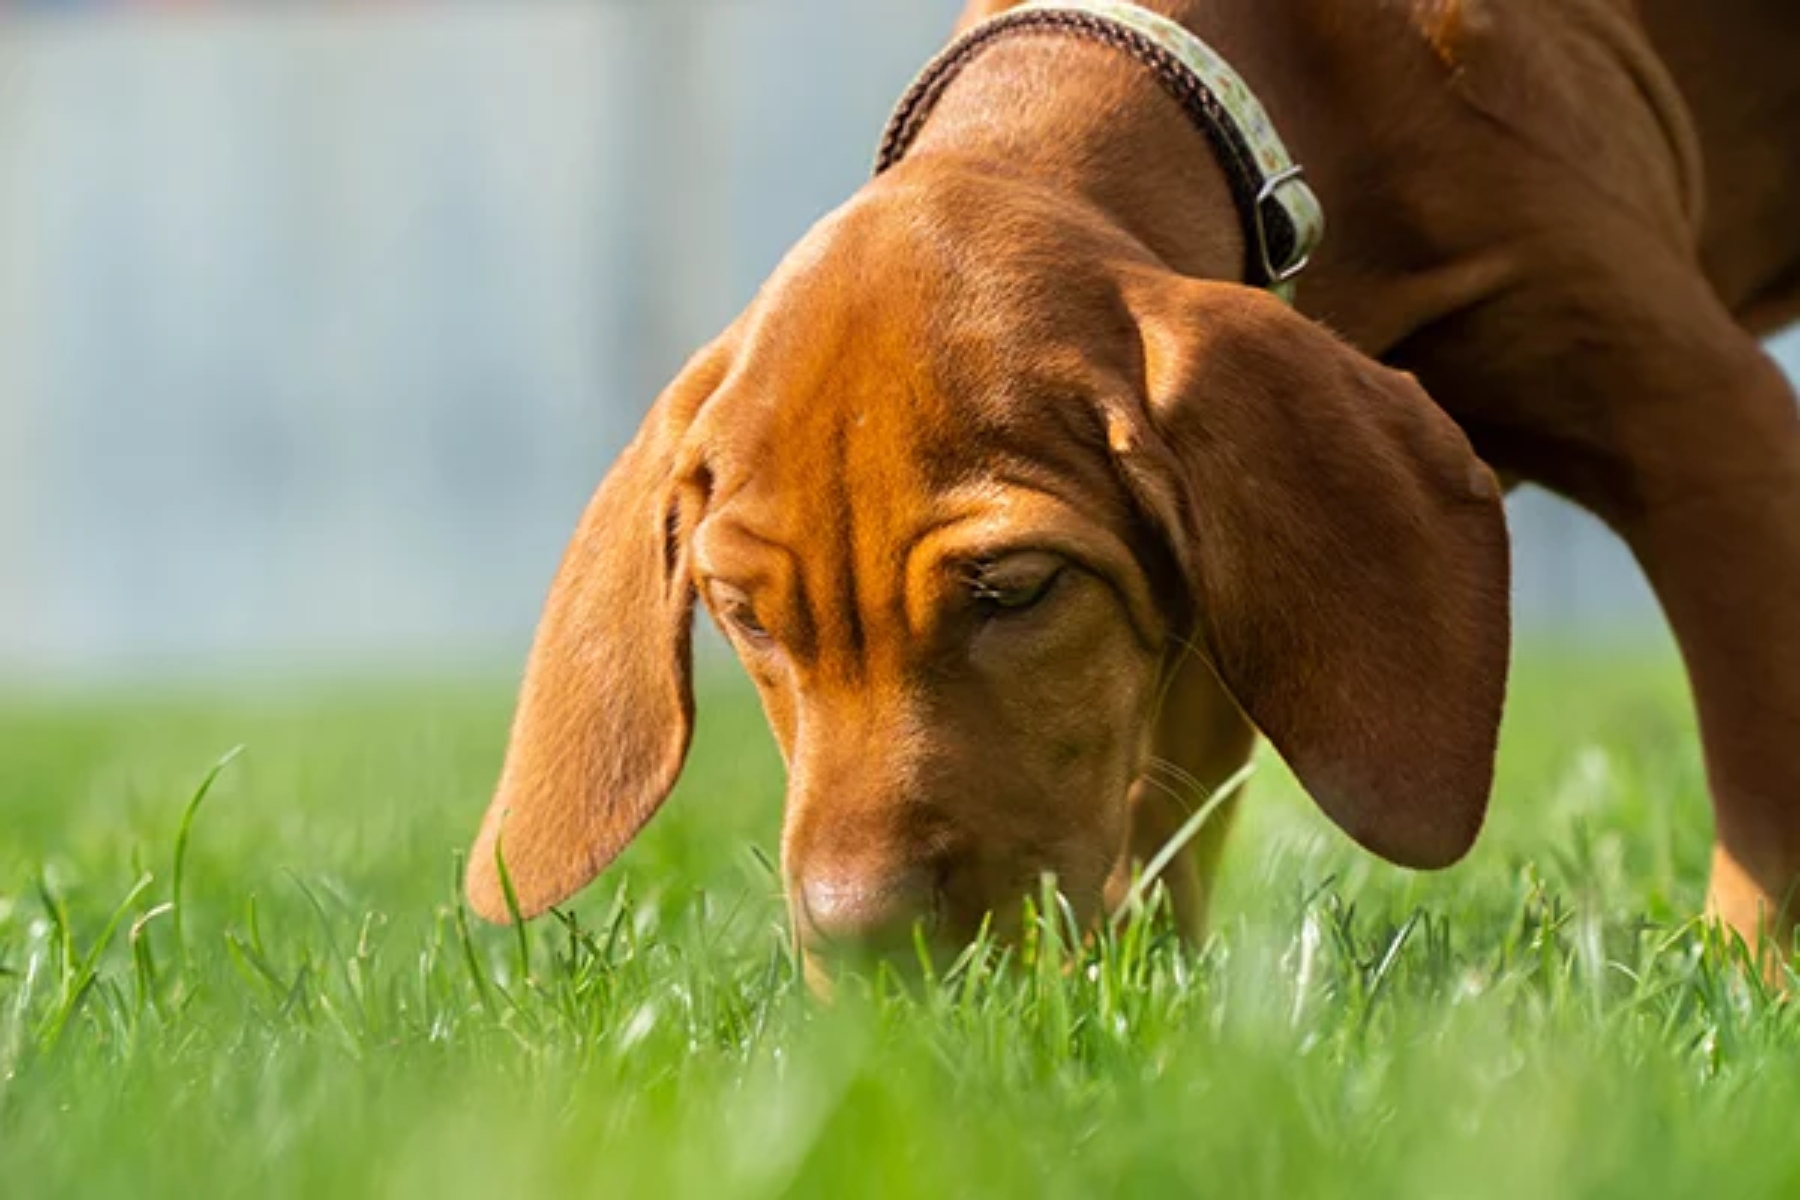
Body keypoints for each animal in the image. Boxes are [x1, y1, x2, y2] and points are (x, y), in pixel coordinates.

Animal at [468, 0, 1800, 978]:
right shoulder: (1204, 577)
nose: (865, 947)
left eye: (1013, 589)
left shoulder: (1718, 436)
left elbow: (1765, 791)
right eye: (746, 618)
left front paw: (1755, 985)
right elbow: (1165, 822)